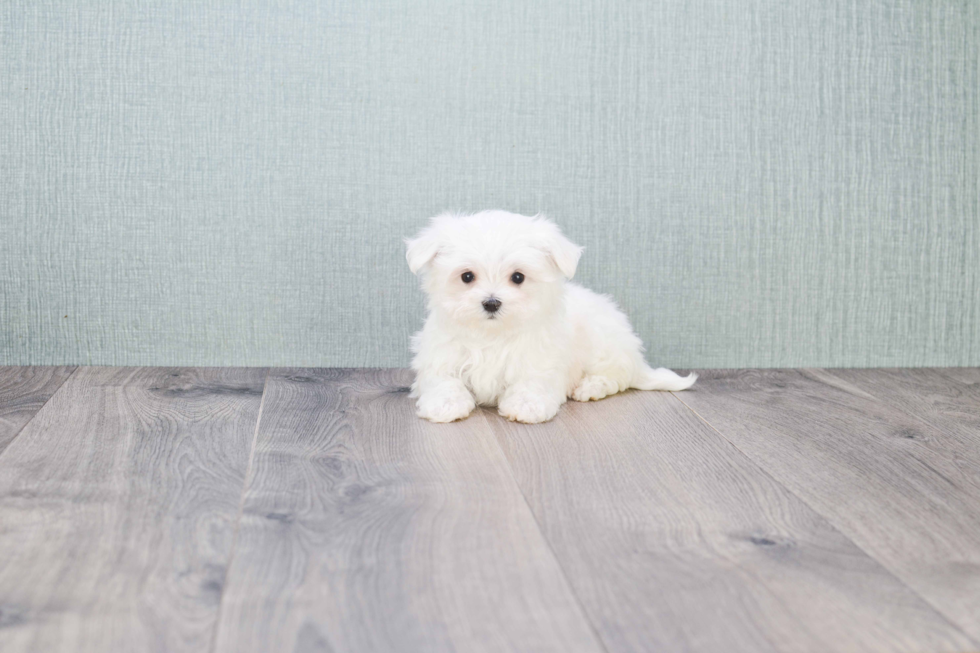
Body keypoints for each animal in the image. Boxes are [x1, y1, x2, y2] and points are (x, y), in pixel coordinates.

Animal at [406, 209, 696, 422]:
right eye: (467, 276)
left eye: (518, 277)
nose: (491, 302)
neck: (493, 335)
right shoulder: (441, 356)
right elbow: (443, 380)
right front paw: (445, 404)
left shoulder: (541, 359)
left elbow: (532, 381)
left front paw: (525, 405)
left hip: (604, 343)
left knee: (616, 375)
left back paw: (590, 387)